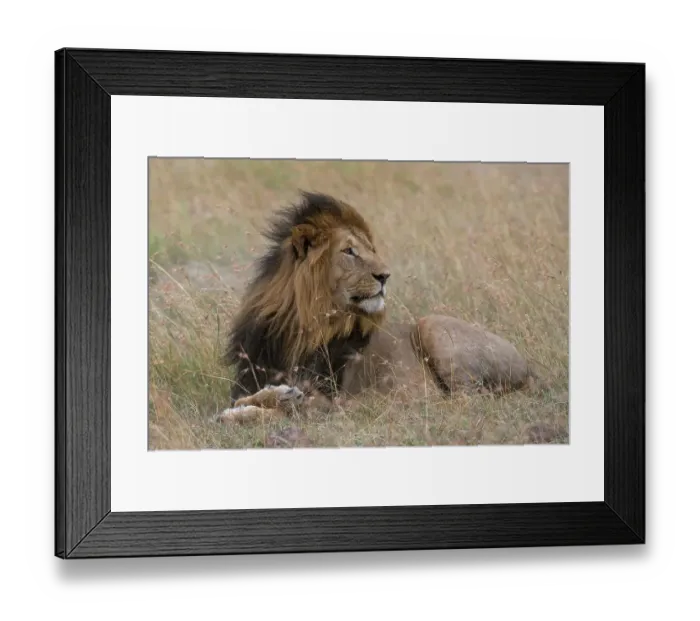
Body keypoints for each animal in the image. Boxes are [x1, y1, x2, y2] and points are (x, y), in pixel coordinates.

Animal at [217, 191, 534, 424]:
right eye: (349, 251)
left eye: (370, 250)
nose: (385, 275)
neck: (299, 326)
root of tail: (530, 369)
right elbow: (244, 400)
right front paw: (249, 406)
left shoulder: (327, 400)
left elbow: (284, 410)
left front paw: (263, 407)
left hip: (431, 326)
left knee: (466, 401)